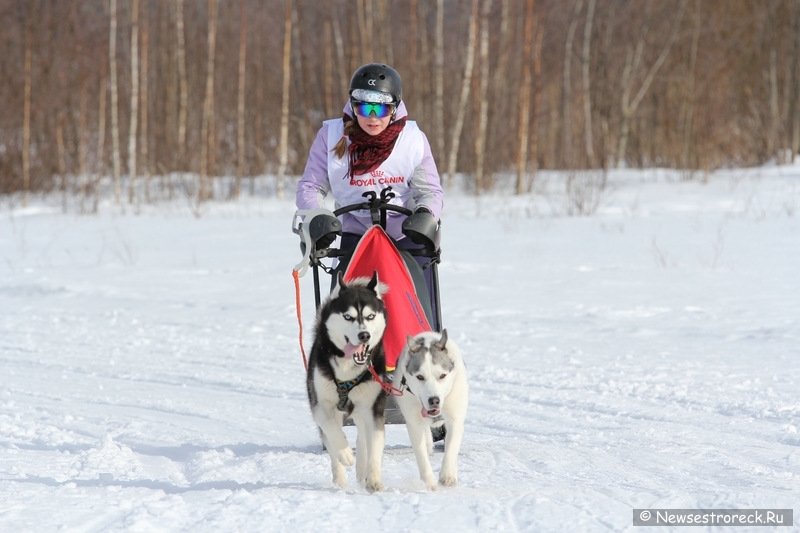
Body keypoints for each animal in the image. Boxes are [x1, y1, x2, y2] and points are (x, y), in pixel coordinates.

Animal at [308, 270, 390, 490]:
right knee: (332, 443)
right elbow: (333, 430)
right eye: (348, 317)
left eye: (370, 316)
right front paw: (345, 453)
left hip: (363, 411)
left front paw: (374, 479)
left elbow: (375, 446)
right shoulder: (320, 405)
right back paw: (340, 479)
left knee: (363, 438)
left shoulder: (374, 408)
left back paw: (362, 472)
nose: (364, 335)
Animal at [394, 330, 468, 488]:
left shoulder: (455, 418)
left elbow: (451, 448)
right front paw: (428, 482)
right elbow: (421, 455)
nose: (434, 400)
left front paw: (447, 475)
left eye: (442, 375)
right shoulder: (414, 423)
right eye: (420, 377)